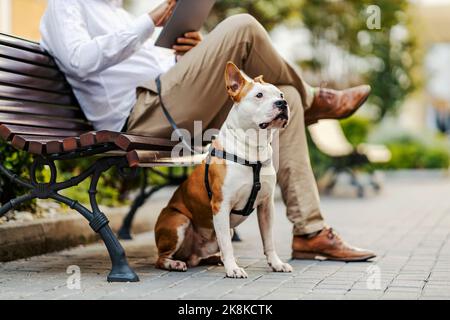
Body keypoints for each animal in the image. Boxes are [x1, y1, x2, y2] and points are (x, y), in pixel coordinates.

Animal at [155, 62, 294, 278]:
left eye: (280, 94)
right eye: (259, 95)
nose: (282, 104)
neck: (254, 150)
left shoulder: (266, 206)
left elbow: (269, 240)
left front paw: (276, 263)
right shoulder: (221, 206)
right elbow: (228, 246)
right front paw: (233, 269)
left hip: (220, 233)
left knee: (202, 254)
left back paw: (213, 259)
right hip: (178, 220)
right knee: (161, 258)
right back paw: (175, 263)